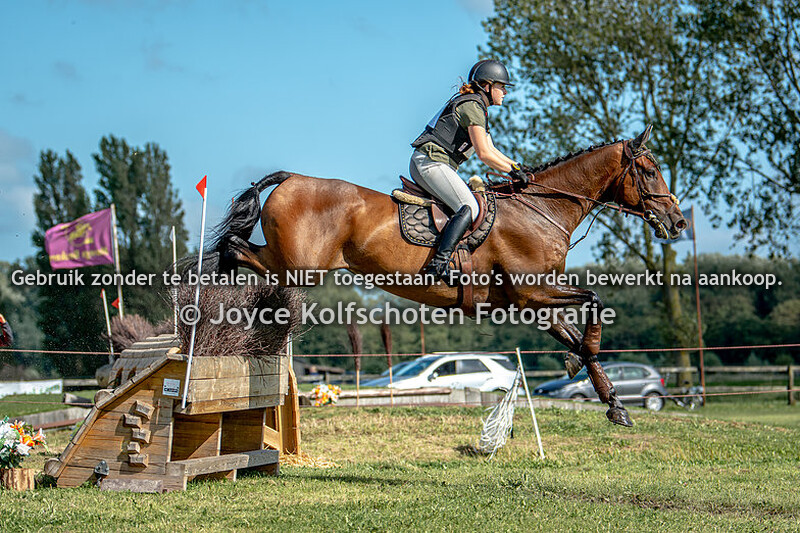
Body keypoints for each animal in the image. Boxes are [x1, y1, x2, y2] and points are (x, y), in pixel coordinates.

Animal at [208, 125, 686, 426]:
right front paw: (585, 362)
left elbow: (581, 336)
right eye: (648, 170)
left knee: (240, 252)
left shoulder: (536, 305)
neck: (542, 208)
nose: (677, 221)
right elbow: (595, 303)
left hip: (293, 264)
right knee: (235, 249)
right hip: (299, 267)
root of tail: (291, 178)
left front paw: (611, 401)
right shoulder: (532, 295)